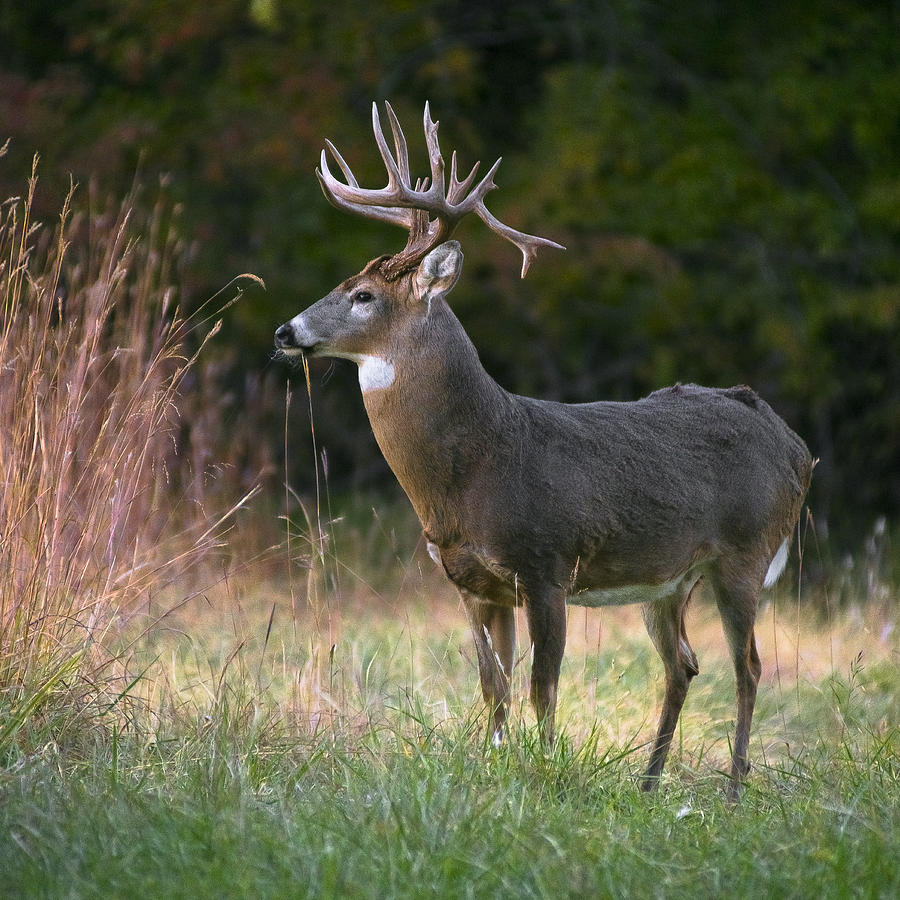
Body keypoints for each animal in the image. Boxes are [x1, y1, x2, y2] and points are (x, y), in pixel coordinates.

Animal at [270, 102, 812, 800]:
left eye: (364, 295)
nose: (285, 332)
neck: (478, 466)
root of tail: (795, 445)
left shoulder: (547, 562)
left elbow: (542, 688)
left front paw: (546, 774)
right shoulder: (473, 583)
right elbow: (493, 688)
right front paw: (495, 769)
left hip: (746, 552)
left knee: (747, 665)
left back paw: (735, 787)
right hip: (671, 578)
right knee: (684, 665)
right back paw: (649, 782)